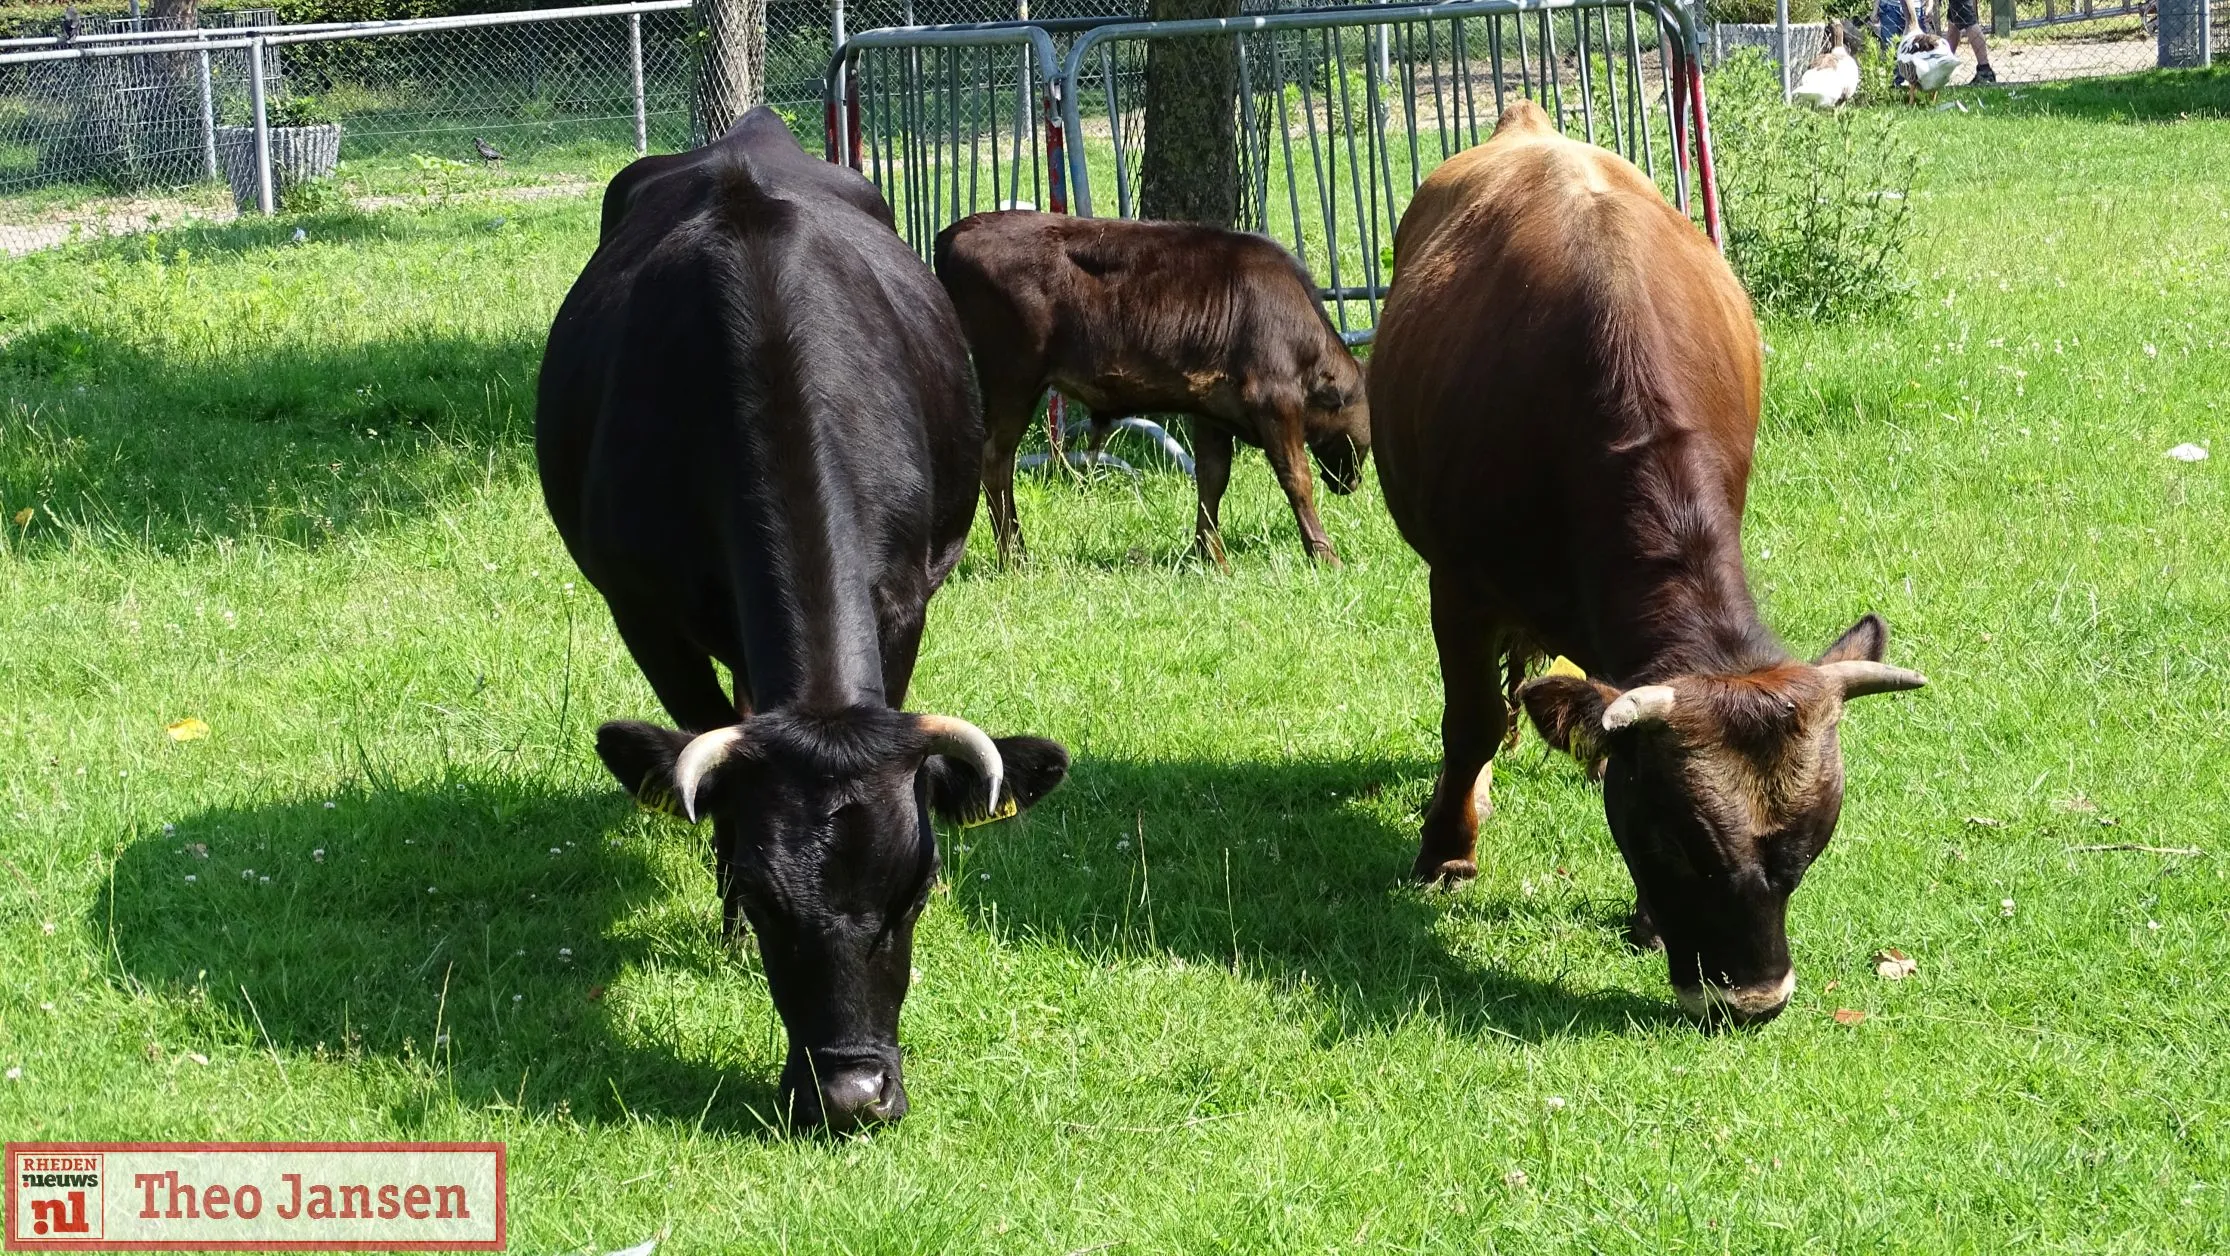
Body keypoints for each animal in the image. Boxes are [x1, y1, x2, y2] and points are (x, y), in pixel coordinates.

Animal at [535, 108, 1065, 1128]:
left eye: (916, 893)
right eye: (764, 896)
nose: (852, 1094)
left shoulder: (902, 600)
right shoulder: (644, 614)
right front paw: (728, 927)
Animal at [932, 213, 1364, 571]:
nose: (1352, 482)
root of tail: (955, 232)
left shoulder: (1211, 409)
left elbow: (1212, 479)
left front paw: (1211, 557)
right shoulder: (1273, 401)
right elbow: (1296, 478)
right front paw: (1326, 556)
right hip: (1013, 378)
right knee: (995, 459)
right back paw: (1015, 558)